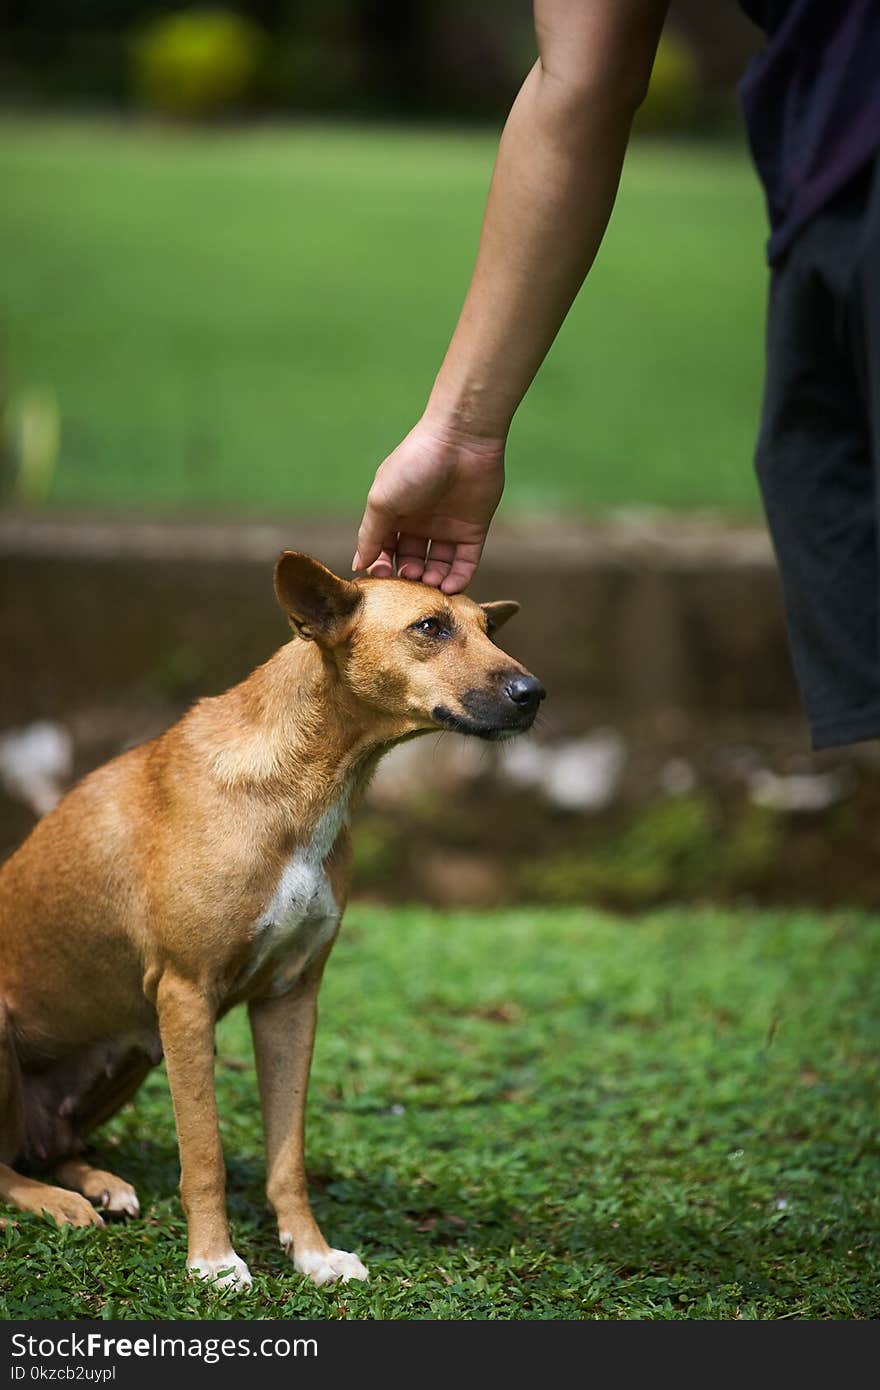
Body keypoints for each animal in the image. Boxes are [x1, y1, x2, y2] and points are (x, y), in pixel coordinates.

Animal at [0, 547, 542, 1284]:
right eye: (430, 627)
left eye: (488, 628)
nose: (533, 692)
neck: (302, 787)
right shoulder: (185, 997)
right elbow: (204, 1154)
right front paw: (214, 1261)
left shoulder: (291, 999)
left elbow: (289, 1158)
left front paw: (312, 1253)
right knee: (6, 1166)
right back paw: (54, 1202)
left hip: (131, 1049)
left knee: (50, 1144)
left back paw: (95, 1182)